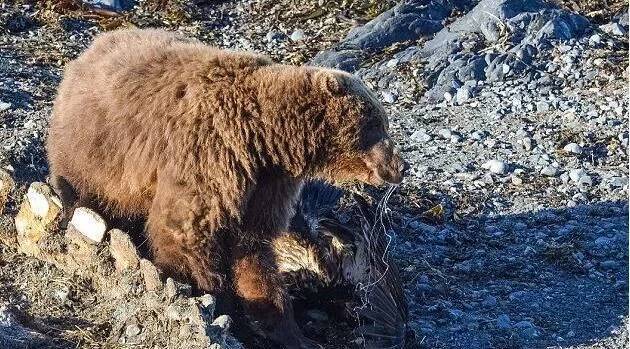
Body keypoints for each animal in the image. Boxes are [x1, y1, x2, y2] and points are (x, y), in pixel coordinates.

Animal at [47, 27, 408, 348]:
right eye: (378, 124)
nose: (400, 166)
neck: (265, 138)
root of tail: (85, 53)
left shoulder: (265, 183)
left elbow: (253, 247)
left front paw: (287, 327)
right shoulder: (209, 153)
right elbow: (185, 232)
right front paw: (210, 298)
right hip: (94, 154)